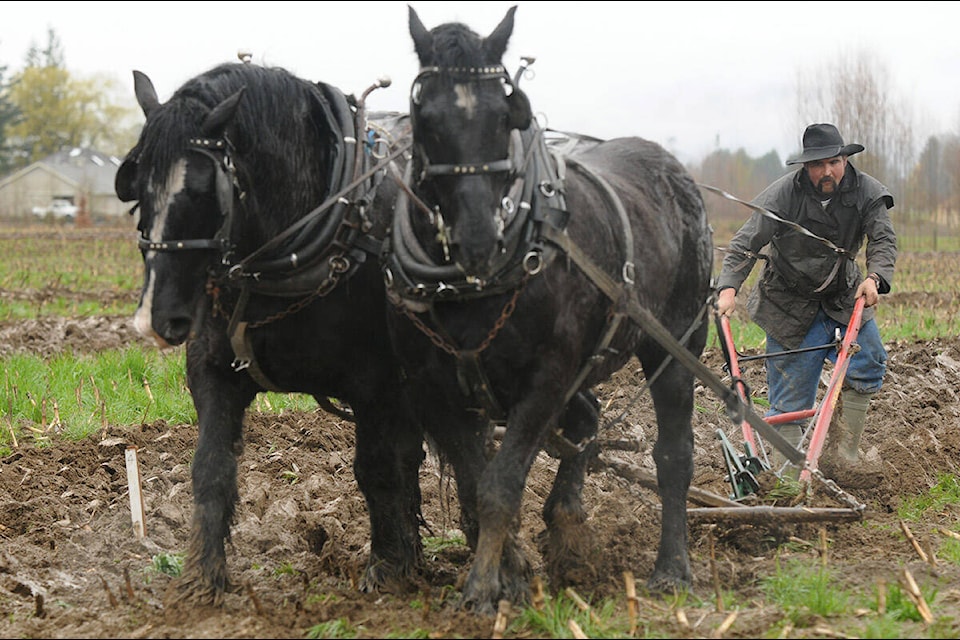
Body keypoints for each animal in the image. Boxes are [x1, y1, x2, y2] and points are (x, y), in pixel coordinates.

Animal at [114, 62, 426, 608]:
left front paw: (386, 571)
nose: (154, 319)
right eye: (138, 191)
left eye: (203, 191)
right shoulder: (213, 372)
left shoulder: (377, 386)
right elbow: (211, 468)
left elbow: (377, 471)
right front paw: (201, 580)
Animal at [382, 6, 712, 616]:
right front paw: (510, 574)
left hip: (674, 346)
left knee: (673, 455)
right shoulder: (438, 392)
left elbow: (500, 485)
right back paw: (567, 522)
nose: (478, 240)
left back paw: (672, 567)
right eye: (426, 116)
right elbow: (474, 484)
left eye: (504, 113)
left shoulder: (545, 379)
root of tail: (672, 167)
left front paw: (482, 588)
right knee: (587, 419)